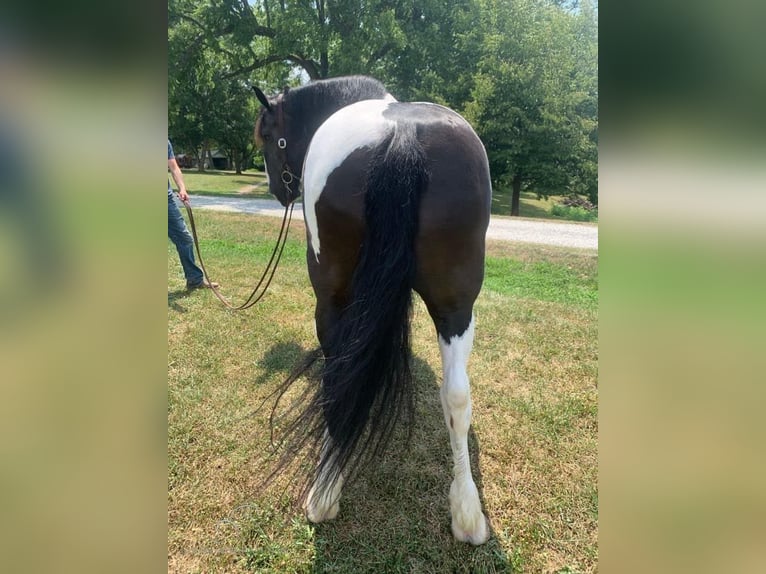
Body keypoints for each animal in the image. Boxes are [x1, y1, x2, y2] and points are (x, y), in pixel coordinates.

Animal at [252, 75, 492, 544]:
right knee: (458, 395)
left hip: (332, 298)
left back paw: (325, 493)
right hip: (457, 306)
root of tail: (402, 133)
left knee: (338, 378)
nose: (277, 189)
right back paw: (467, 514)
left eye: (268, 136)